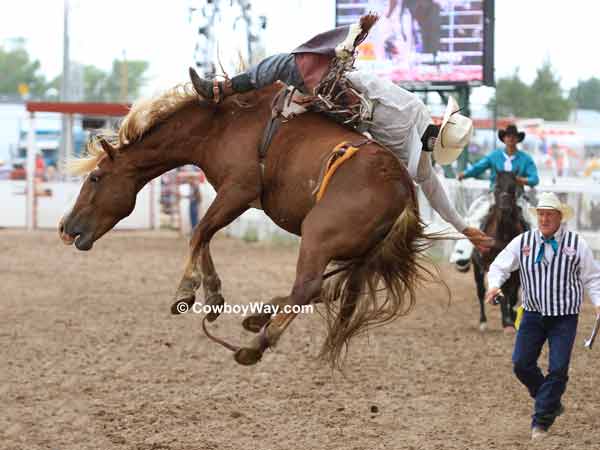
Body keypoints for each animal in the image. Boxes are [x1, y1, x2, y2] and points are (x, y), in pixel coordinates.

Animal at [58, 82, 438, 368]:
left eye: (95, 177)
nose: (66, 227)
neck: (220, 124)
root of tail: (403, 191)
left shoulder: (239, 189)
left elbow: (199, 232)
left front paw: (186, 292)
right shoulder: (232, 195)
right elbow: (205, 235)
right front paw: (213, 296)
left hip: (319, 236)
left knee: (309, 287)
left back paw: (256, 344)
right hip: (359, 254)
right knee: (331, 288)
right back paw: (259, 317)